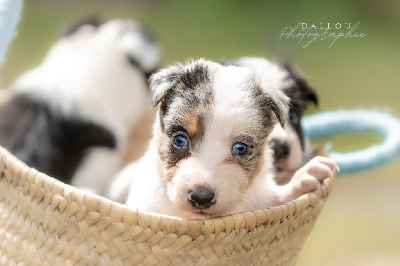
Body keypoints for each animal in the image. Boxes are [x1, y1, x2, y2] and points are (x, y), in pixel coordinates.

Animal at [109, 58, 338, 218]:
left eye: (240, 148)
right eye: (180, 140)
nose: (201, 198)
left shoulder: (260, 199)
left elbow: (276, 197)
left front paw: (306, 177)